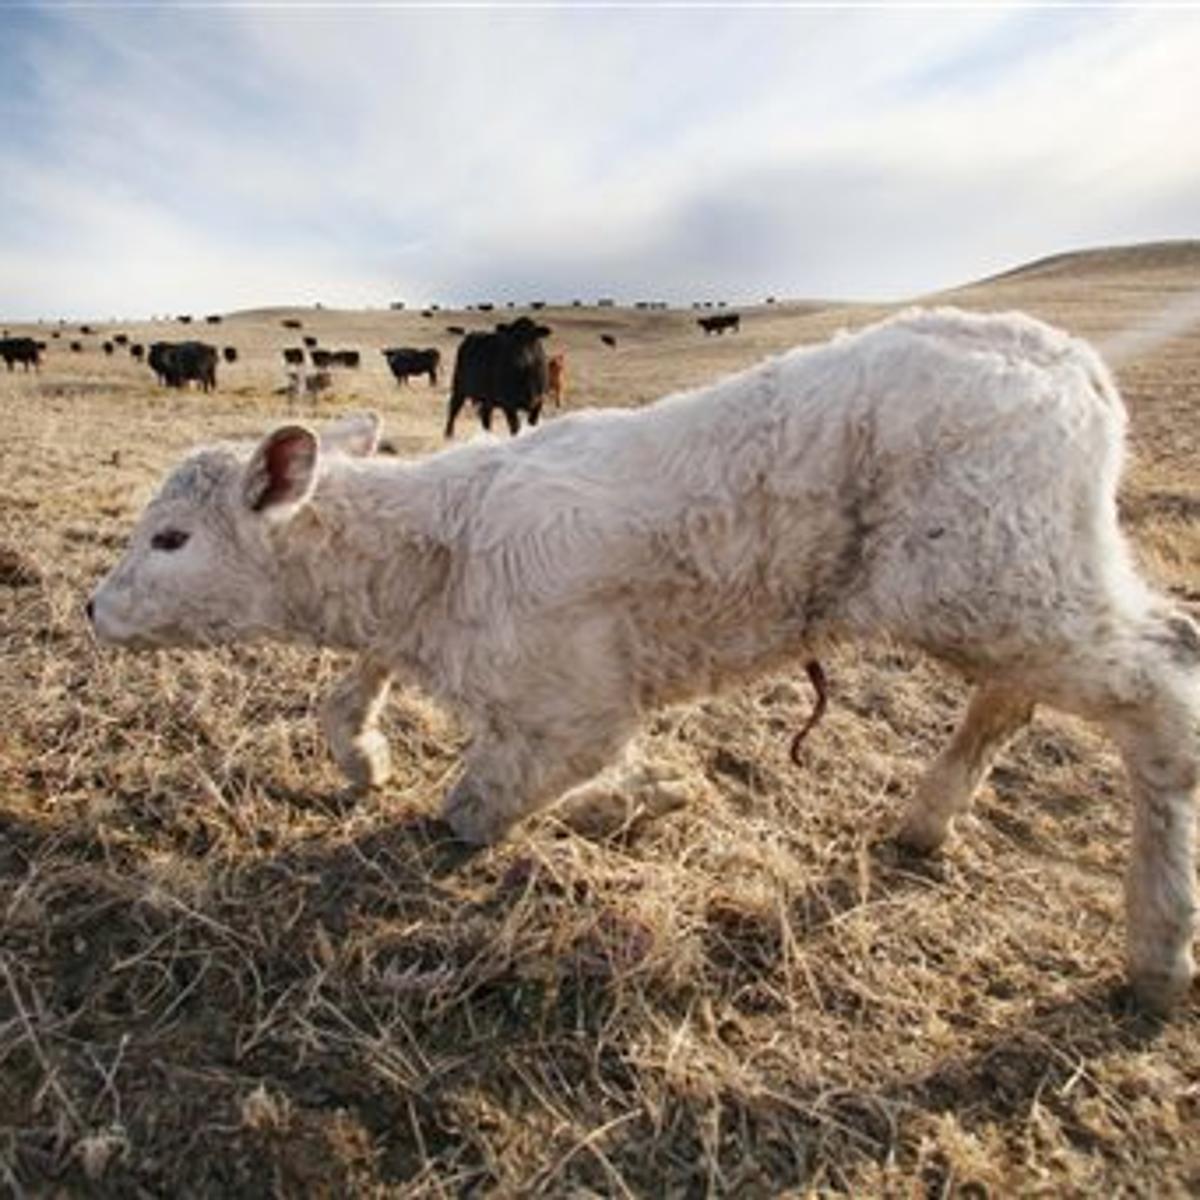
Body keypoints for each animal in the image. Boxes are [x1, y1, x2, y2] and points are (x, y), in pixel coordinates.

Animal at [88, 307, 1200, 1012]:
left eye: (171, 540)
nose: (96, 608)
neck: (442, 547)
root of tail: (1066, 360)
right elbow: (355, 691)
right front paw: (366, 754)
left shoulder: (571, 705)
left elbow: (473, 810)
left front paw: (638, 795)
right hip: (1028, 573)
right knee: (1023, 694)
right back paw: (928, 822)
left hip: (996, 579)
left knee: (1165, 690)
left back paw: (1157, 950)